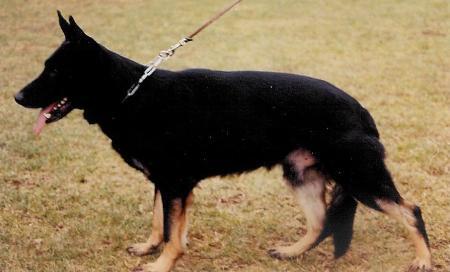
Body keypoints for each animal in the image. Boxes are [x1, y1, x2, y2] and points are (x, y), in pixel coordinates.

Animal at [15, 12, 432, 272]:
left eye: (53, 71)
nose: (17, 97)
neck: (131, 93)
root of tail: (360, 108)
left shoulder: (174, 185)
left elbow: (171, 231)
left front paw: (161, 263)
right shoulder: (168, 185)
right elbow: (161, 224)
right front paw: (153, 248)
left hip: (360, 179)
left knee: (410, 210)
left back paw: (424, 259)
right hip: (302, 177)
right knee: (319, 223)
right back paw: (291, 251)